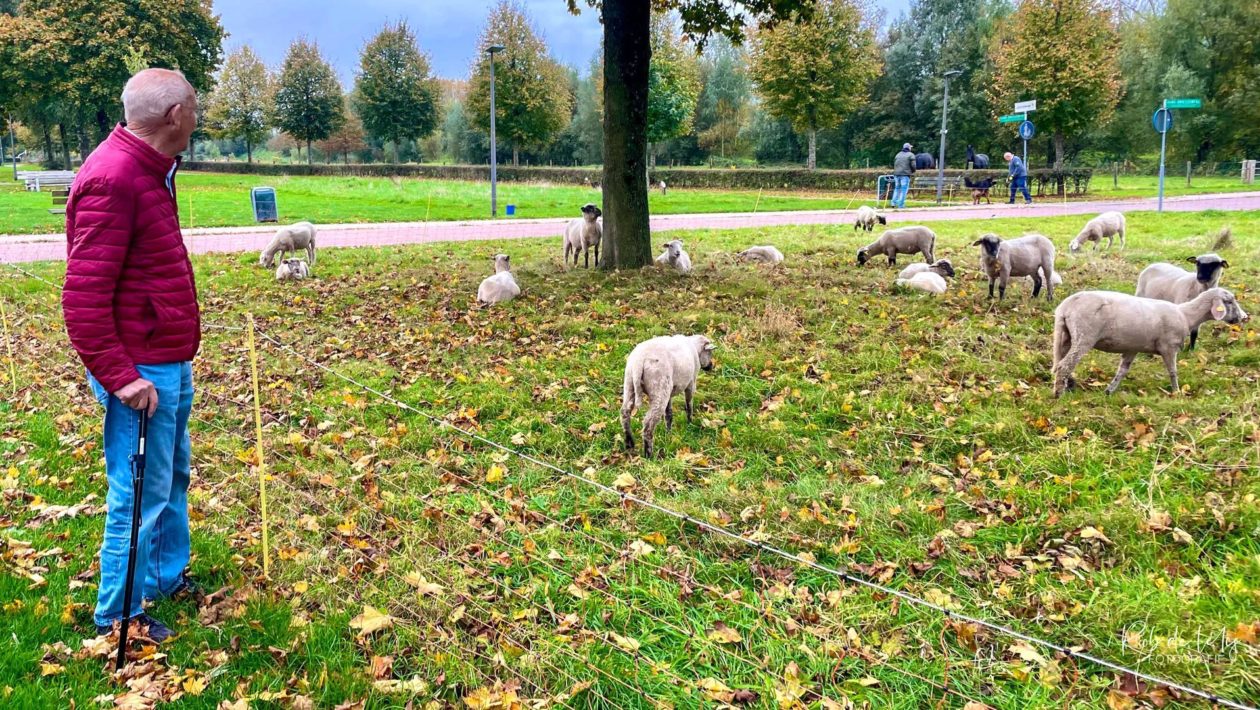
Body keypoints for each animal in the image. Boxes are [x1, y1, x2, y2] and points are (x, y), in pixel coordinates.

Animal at [1053, 288, 1249, 401]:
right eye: (1230, 301)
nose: (1244, 317)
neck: (1186, 315)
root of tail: (1067, 305)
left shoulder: (1132, 348)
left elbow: (1122, 371)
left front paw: (1109, 391)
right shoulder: (1169, 347)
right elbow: (1173, 371)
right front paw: (1177, 393)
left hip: (1065, 335)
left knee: (1058, 363)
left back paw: (1066, 386)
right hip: (1084, 335)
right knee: (1064, 365)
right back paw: (1059, 395)